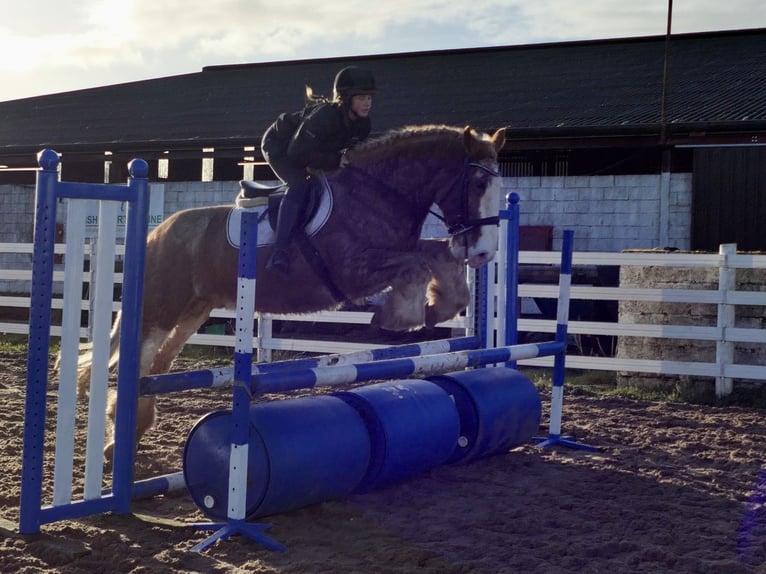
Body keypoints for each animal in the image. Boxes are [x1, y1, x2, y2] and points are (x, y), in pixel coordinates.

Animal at [78, 123, 506, 460]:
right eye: (478, 184)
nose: (485, 252)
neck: (381, 192)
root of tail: (157, 233)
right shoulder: (353, 270)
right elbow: (416, 266)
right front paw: (399, 317)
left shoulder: (398, 251)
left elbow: (439, 257)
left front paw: (440, 307)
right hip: (161, 309)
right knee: (139, 364)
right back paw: (117, 442)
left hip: (193, 312)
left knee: (158, 367)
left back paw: (130, 436)